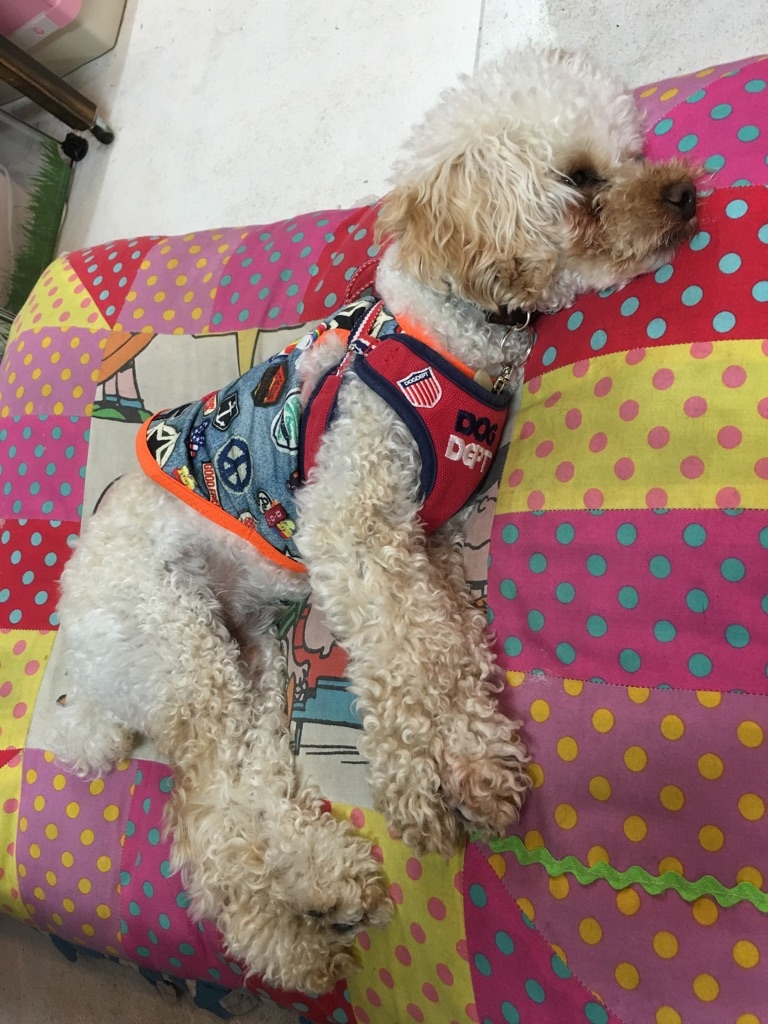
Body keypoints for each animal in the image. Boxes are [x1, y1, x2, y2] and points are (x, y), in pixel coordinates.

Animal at [50, 47, 698, 993]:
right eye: (580, 179)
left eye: (634, 154)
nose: (687, 192)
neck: (446, 327)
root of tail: (86, 671)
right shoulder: (353, 532)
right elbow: (406, 657)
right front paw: (428, 790)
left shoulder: (425, 543)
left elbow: (449, 646)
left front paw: (474, 760)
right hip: (180, 649)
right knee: (208, 834)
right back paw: (294, 949)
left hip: (243, 661)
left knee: (248, 788)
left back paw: (328, 883)